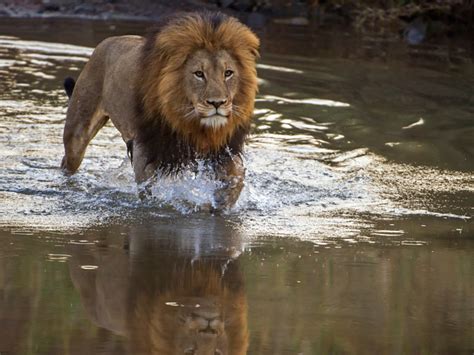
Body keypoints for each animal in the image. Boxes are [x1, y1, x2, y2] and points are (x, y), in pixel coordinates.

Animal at [61, 12, 262, 210]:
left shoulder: (222, 149)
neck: (191, 123)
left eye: (228, 73)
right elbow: (150, 193)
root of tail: (108, 41)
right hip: (77, 133)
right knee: (68, 161)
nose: (217, 103)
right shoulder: (147, 151)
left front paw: (223, 202)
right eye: (199, 74)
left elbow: (237, 175)